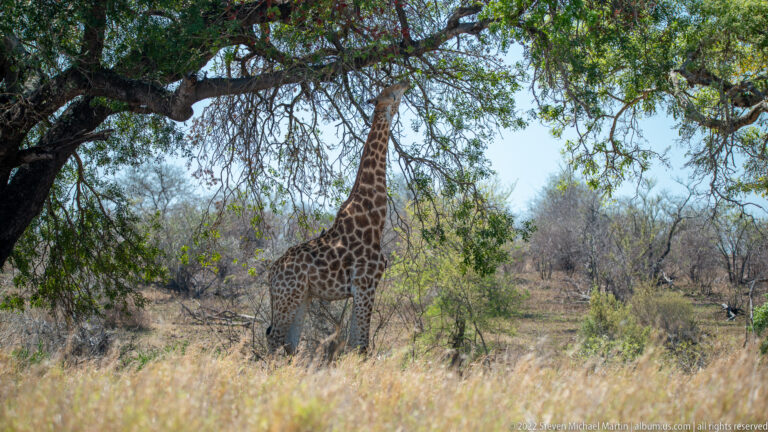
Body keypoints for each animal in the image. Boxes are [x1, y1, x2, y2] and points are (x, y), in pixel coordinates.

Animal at [265, 81, 409, 355]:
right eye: (391, 91)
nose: (407, 82)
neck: (373, 220)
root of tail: (270, 274)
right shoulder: (365, 285)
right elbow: (361, 345)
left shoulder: (362, 289)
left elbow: (355, 344)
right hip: (287, 296)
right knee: (274, 341)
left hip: (302, 296)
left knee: (289, 345)